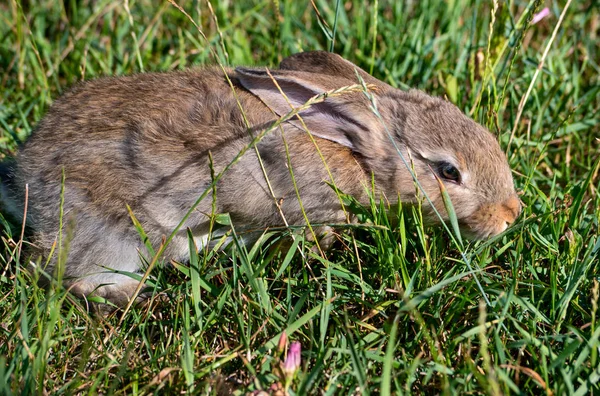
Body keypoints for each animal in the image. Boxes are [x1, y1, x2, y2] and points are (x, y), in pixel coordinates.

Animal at [2, 51, 520, 308]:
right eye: (448, 171)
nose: (511, 215)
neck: (351, 150)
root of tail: (24, 183)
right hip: (111, 237)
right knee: (58, 275)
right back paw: (135, 296)